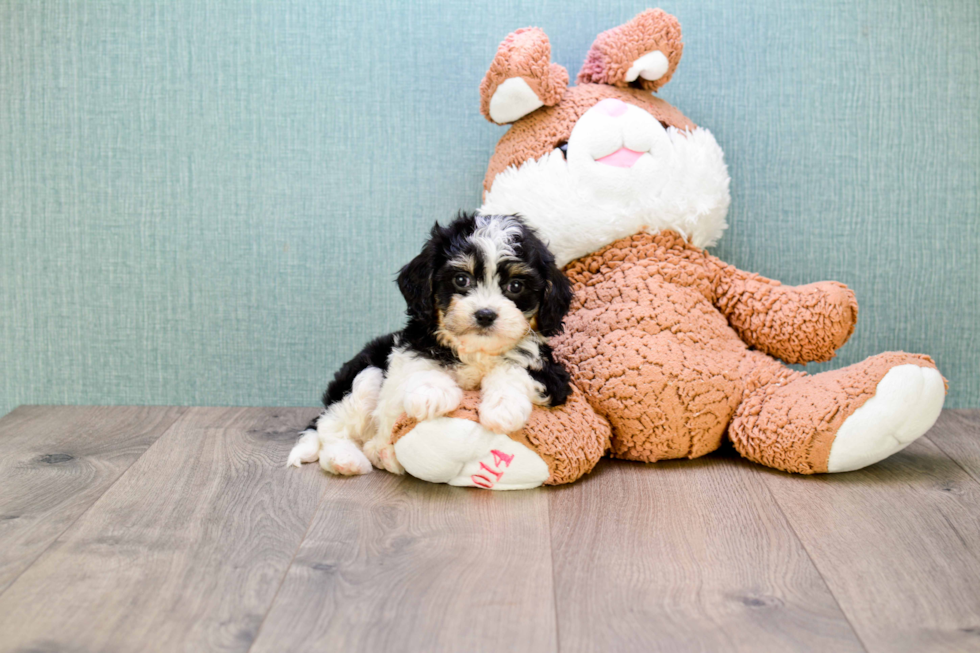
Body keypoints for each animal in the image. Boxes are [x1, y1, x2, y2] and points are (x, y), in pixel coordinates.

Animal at [284, 213, 576, 474]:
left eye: (515, 286)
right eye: (461, 279)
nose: (485, 314)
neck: (476, 351)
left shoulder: (552, 375)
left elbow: (515, 367)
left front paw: (503, 407)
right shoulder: (411, 345)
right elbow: (420, 361)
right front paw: (432, 393)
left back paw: (382, 455)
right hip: (366, 373)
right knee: (330, 428)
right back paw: (346, 459)